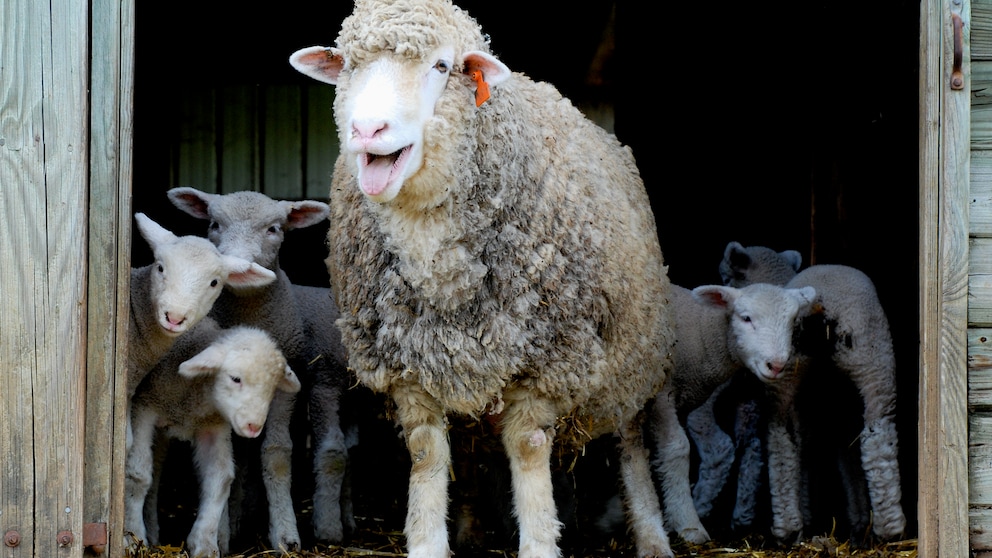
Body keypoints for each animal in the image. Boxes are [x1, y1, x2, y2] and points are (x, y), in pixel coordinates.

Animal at [125, 324, 302, 558]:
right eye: (235, 378)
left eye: (272, 387)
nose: (254, 426)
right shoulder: (144, 407)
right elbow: (138, 475)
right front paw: (133, 536)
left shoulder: (214, 424)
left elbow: (219, 478)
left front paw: (205, 544)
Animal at [167, 187, 356, 552]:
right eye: (214, 224)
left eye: (274, 229)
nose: (238, 267)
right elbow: (228, 459)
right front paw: (221, 534)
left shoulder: (289, 383)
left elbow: (277, 454)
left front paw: (286, 535)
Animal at [288, 1, 680, 558]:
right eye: (347, 66)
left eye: (441, 66)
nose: (367, 129)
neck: (437, 264)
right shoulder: (408, 364)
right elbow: (427, 452)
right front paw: (428, 543)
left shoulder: (548, 359)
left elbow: (529, 448)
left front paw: (539, 543)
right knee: (470, 449)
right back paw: (471, 529)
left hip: (631, 359)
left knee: (629, 446)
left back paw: (651, 536)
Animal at [648, 282, 816, 544]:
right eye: (746, 318)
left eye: (792, 322)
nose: (776, 365)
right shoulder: (661, 394)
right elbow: (677, 448)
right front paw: (688, 524)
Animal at [708, 242, 912, 548]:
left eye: (726, 276)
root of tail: (821, 308)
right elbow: (839, 457)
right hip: (867, 364)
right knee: (872, 438)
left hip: (809, 371)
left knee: (785, 442)